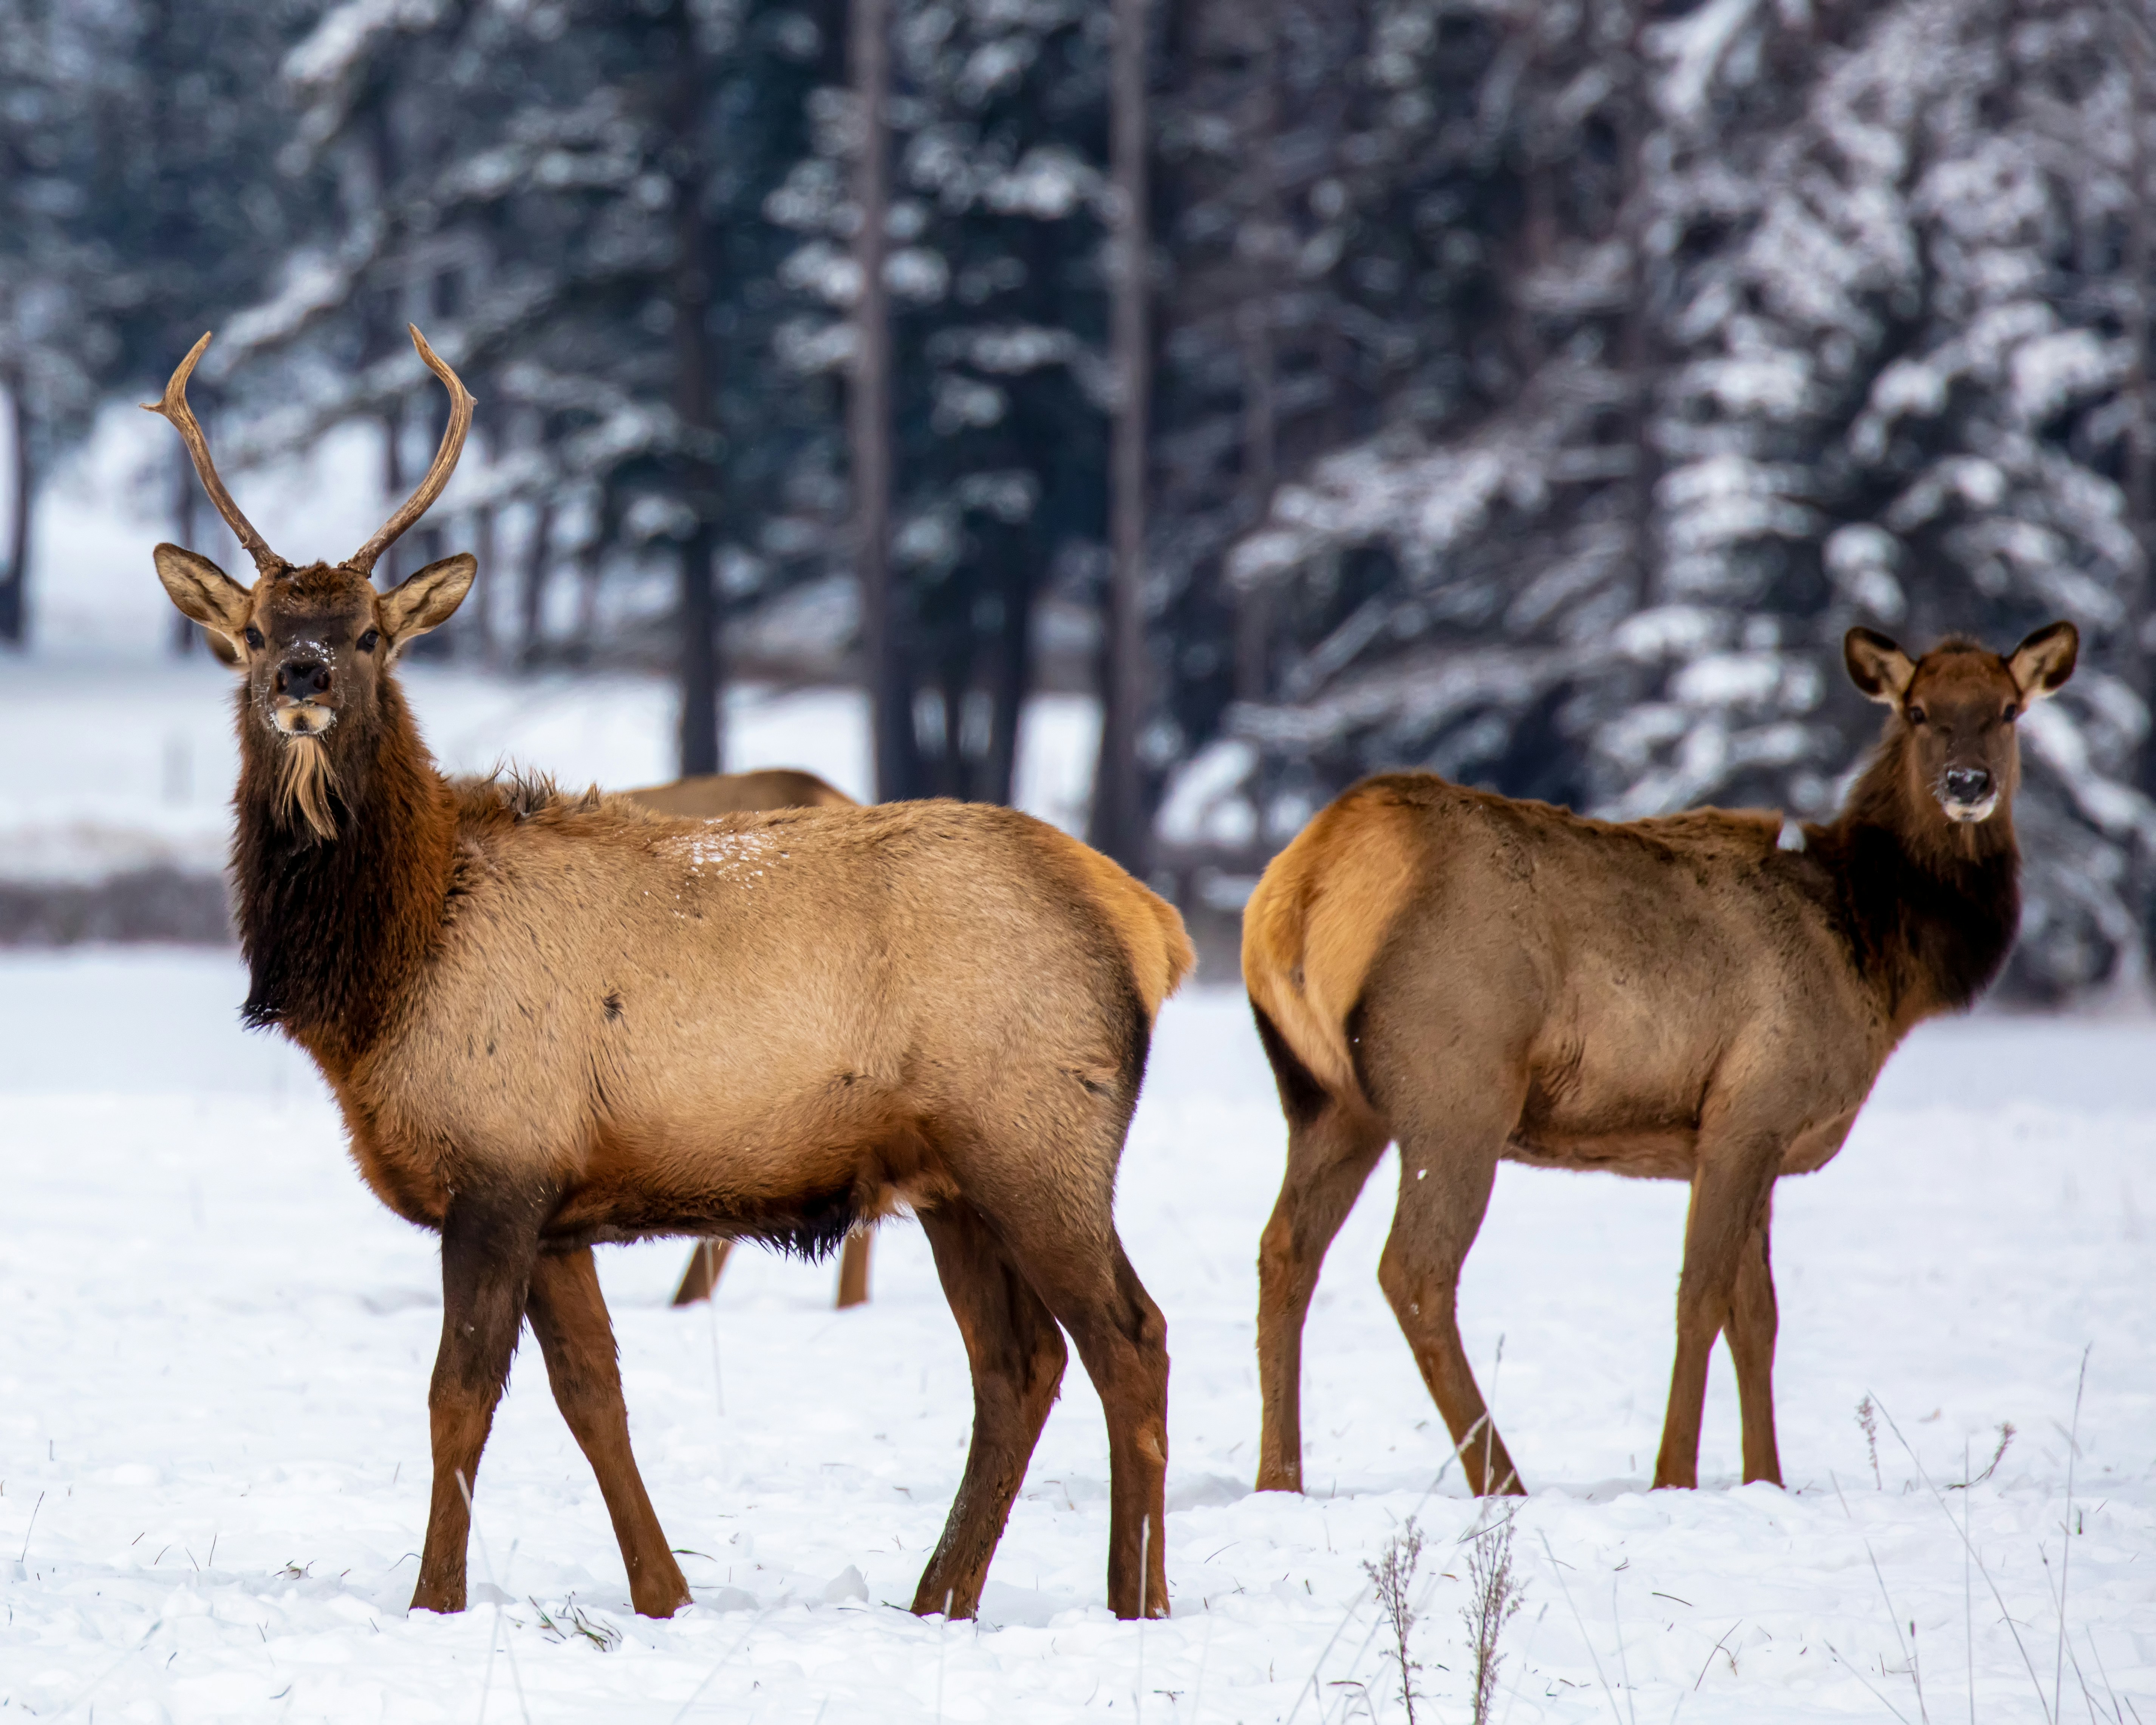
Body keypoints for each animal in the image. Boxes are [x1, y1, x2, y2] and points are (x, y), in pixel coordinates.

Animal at [146, 327, 1194, 1621]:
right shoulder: (556, 1199)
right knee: (1019, 1364)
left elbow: (458, 1397)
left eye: (370, 634)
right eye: (253, 630)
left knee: (1129, 1339)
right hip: (955, 1174)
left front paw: (436, 1598)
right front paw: (664, 1593)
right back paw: (940, 1597)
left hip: (1041, 1137)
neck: (387, 976)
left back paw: (1135, 1599)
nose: (301, 678)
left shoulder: (498, 1165)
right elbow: (594, 1395)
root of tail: (1149, 924)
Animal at [1241, 621, 2078, 1498]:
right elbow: (1700, 1298)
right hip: (1456, 1089)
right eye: (1916, 710)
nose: (1967, 782)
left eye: (2008, 710)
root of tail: (1303, 886)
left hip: (1328, 1100)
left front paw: (1766, 1479)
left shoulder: (1756, 1139)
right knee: (1413, 1270)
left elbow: (1758, 1317)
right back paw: (1504, 1481)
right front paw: (1674, 1475)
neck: (1876, 950)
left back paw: (1278, 1478)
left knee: (1284, 1251)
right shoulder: (1751, 1108)